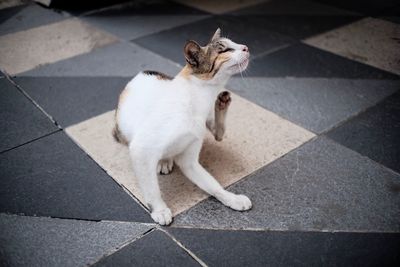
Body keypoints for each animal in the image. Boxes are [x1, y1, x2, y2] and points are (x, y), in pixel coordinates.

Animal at [112, 28, 252, 226]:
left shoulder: (190, 160)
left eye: (235, 43)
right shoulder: (141, 149)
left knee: (218, 133)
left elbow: (213, 185)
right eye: (224, 50)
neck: (200, 100)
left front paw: (231, 198)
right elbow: (151, 187)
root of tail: (141, 73)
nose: (246, 47)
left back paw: (221, 105)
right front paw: (159, 209)